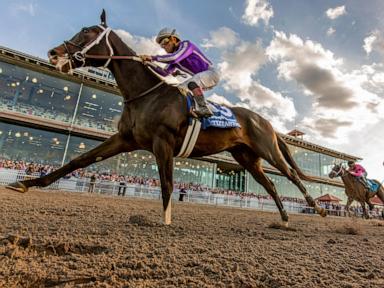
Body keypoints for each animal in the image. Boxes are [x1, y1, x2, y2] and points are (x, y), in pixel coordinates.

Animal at [6, 9, 326, 225]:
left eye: (87, 32)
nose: (54, 53)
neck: (145, 94)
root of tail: (266, 121)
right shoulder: (125, 139)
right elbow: (79, 160)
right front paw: (25, 183)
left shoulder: (164, 143)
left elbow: (168, 183)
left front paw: (166, 221)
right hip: (246, 157)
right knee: (271, 184)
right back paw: (284, 218)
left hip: (267, 150)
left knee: (291, 176)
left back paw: (318, 208)